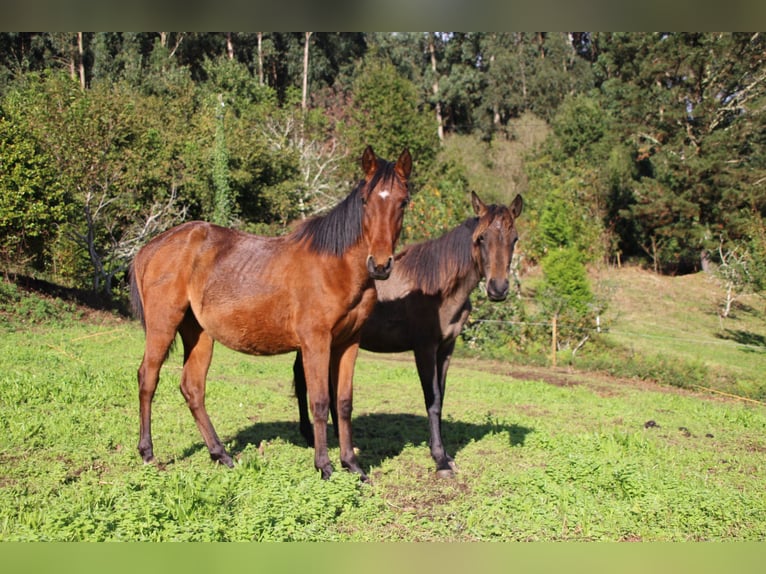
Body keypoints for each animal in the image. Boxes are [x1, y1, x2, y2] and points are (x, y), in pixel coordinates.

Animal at [130, 146, 414, 480]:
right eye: (365, 200)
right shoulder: (316, 342)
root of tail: (149, 248)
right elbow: (320, 402)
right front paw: (325, 466)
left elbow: (343, 403)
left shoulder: (348, 343)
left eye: (403, 201)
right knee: (148, 378)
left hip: (199, 333)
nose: (380, 265)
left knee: (193, 388)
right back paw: (147, 453)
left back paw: (221, 454)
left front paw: (353, 465)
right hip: (163, 324)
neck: (336, 267)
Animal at [294, 191, 520, 480]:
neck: (439, 286)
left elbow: (440, 398)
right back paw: (309, 436)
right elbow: (432, 400)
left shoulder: (445, 349)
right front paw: (440, 461)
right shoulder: (424, 348)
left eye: (514, 239)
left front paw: (445, 455)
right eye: (481, 238)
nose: (498, 288)